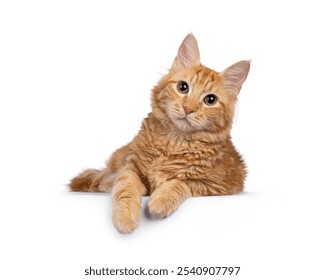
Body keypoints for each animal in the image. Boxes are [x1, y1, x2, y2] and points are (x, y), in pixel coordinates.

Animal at [69, 34, 251, 233]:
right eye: (183, 87)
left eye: (210, 100)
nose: (188, 108)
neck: (174, 142)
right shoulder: (131, 167)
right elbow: (125, 188)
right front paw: (125, 216)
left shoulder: (215, 185)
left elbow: (180, 183)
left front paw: (160, 202)